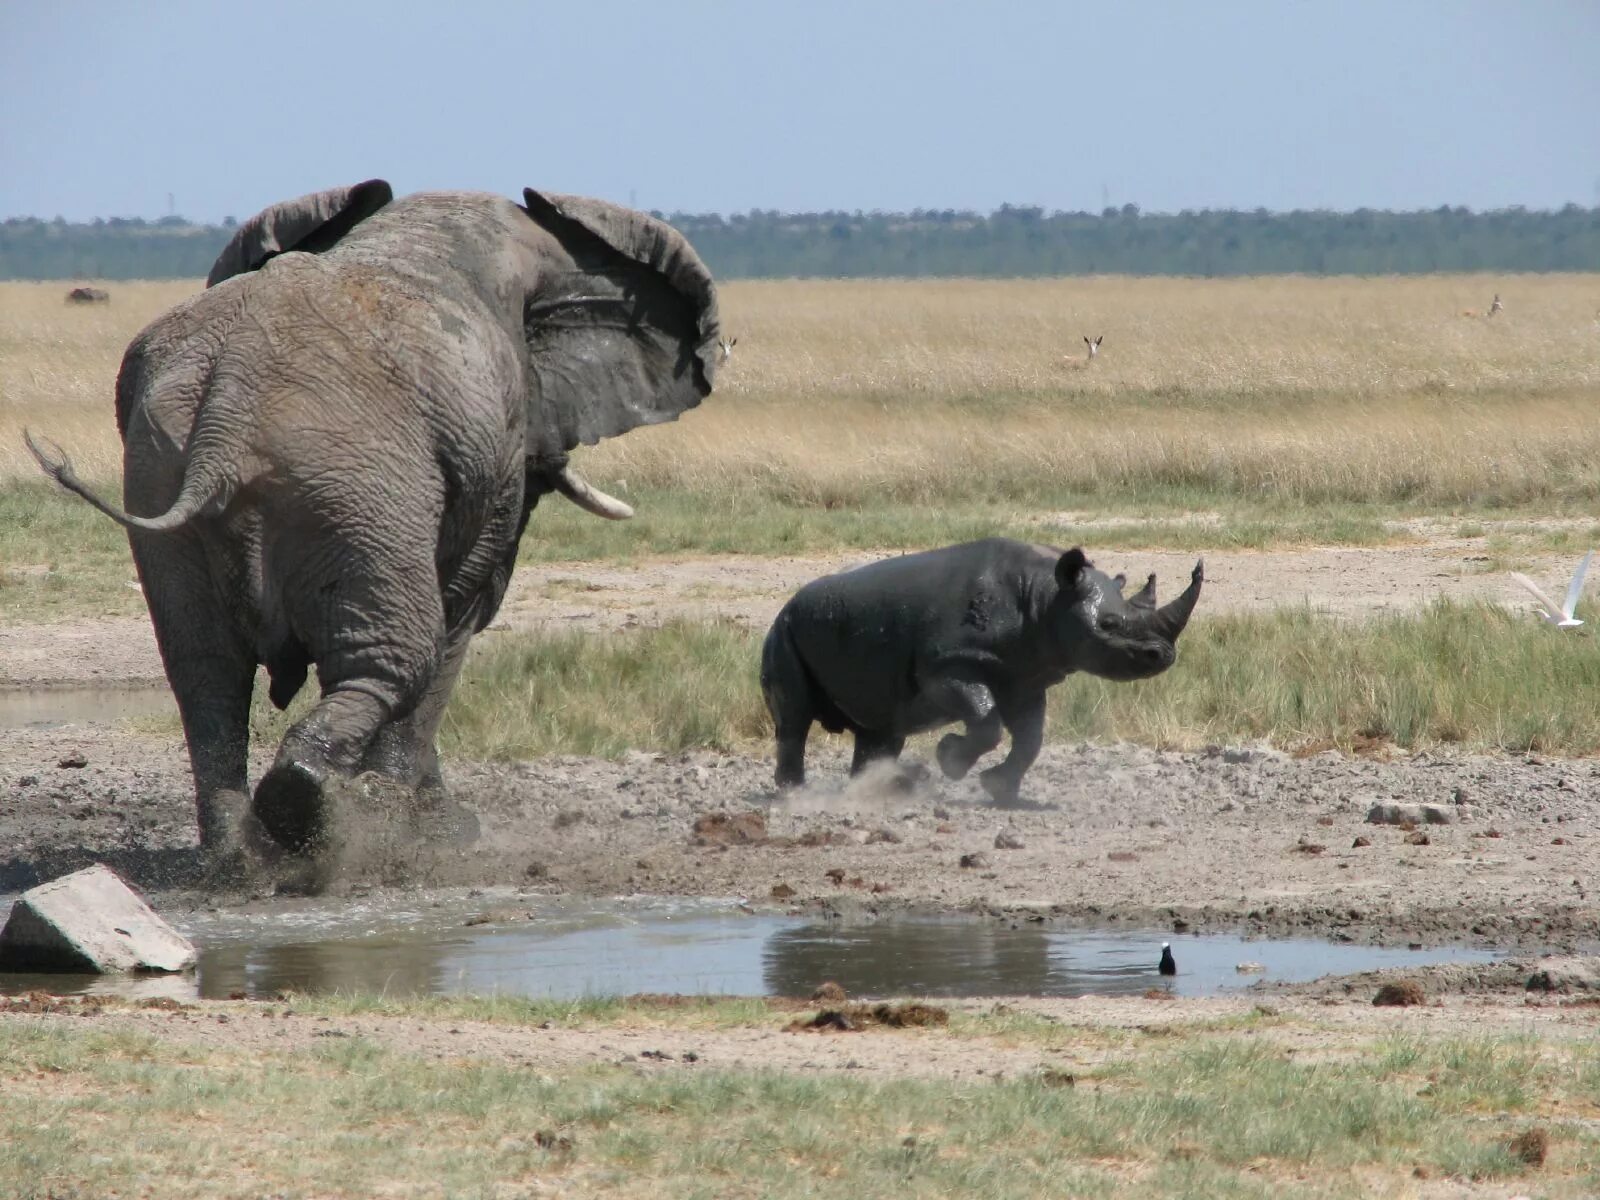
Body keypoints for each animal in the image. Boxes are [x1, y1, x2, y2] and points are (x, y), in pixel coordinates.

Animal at [26, 178, 720, 864]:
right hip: (354, 492)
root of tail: (227, 408)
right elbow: (460, 615)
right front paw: (436, 832)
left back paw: (242, 859)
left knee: (207, 675)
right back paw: (315, 815)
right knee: (400, 656)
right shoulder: (494, 450)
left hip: (163, 477)